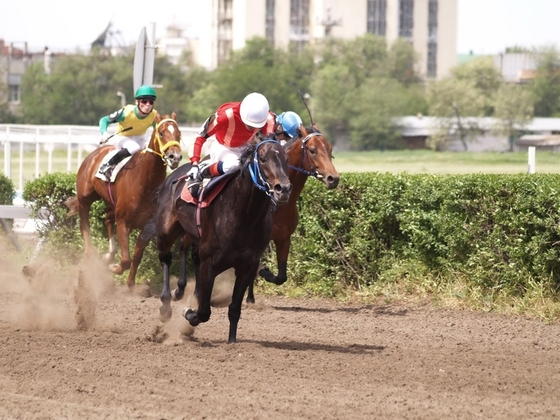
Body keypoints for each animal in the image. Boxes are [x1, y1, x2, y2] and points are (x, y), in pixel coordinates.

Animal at [67, 113, 183, 288]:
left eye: (179, 134)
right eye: (161, 133)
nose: (174, 157)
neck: (145, 183)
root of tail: (95, 154)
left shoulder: (148, 226)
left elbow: (136, 256)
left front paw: (130, 282)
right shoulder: (123, 221)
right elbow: (126, 259)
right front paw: (115, 268)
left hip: (110, 202)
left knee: (107, 218)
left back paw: (109, 254)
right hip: (84, 198)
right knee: (84, 223)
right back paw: (90, 254)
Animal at [155, 139, 290, 342]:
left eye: (286, 158)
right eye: (263, 159)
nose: (284, 189)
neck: (245, 216)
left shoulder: (248, 265)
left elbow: (234, 308)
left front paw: (232, 341)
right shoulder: (210, 261)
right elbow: (204, 312)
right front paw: (189, 312)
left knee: (191, 257)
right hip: (166, 230)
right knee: (166, 257)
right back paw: (166, 303)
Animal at [248, 123, 336, 304]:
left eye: (330, 149)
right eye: (312, 150)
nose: (334, 178)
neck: (279, 205)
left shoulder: (284, 238)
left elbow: (282, 276)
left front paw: (265, 273)